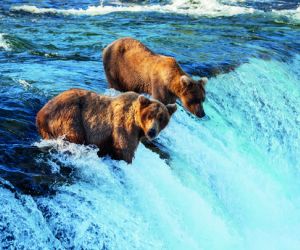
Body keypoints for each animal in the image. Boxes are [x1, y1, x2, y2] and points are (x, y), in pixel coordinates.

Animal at [35, 88, 176, 164]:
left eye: (161, 118)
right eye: (149, 115)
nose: (152, 131)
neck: (138, 126)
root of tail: (40, 114)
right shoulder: (124, 126)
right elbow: (125, 149)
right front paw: (127, 159)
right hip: (70, 115)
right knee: (75, 134)